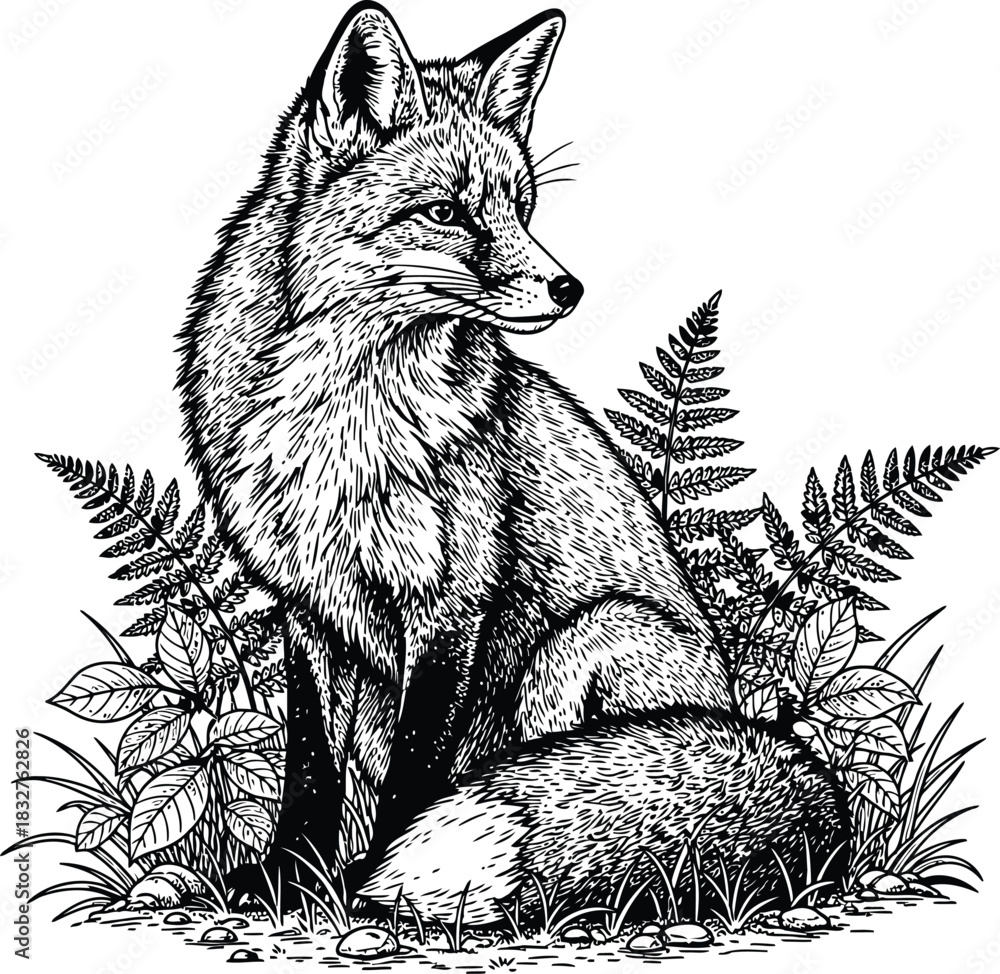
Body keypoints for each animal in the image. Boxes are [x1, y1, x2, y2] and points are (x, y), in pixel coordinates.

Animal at [177, 1, 847, 913]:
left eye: (520, 206)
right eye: (447, 213)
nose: (569, 287)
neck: (342, 428)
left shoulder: (450, 606)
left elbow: (416, 774)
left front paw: (367, 883)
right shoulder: (308, 609)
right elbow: (310, 765)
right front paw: (288, 873)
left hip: (588, 642)